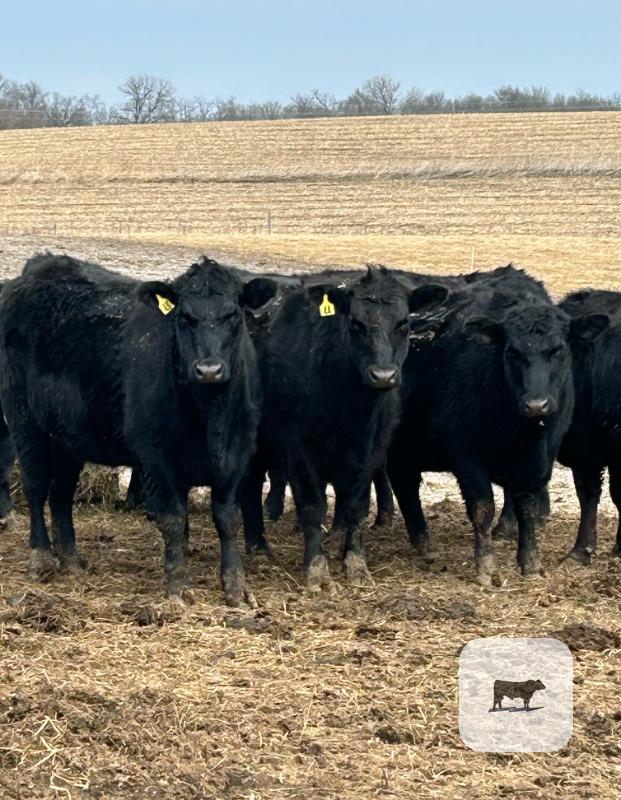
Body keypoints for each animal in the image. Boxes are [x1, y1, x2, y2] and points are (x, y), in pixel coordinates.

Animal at [0, 253, 277, 605]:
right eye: (184, 317)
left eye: (233, 314)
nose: (209, 370)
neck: (210, 415)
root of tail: (41, 268)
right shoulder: (157, 458)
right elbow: (174, 519)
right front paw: (176, 585)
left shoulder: (237, 455)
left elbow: (227, 519)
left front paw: (235, 586)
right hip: (25, 421)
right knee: (36, 487)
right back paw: (41, 558)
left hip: (67, 437)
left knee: (61, 495)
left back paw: (72, 562)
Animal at [240, 265, 449, 590]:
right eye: (356, 323)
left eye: (403, 324)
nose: (383, 375)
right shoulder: (299, 449)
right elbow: (312, 507)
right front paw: (317, 569)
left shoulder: (372, 449)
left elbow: (356, 506)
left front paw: (355, 562)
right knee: (250, 485)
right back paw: (258, 546)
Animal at [387, 265, 575, 586]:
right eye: (512, 351)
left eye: (558, 349)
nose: (536, 404)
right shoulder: (467, 456)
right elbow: (483, 508)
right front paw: (486, 567)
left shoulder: (539, 461)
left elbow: (527, 508)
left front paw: (531, 563)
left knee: (405, 484)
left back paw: (423, 544)